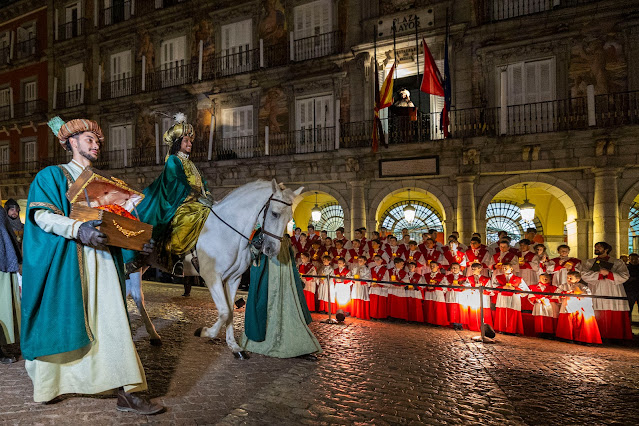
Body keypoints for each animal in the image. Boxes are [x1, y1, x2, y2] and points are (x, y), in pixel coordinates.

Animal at [128, 178, 304, 358]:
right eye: (275, 214)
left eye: (290, 217)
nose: (271, 249)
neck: (227, 231)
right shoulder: (212, 277)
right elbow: (225, 311)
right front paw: (204, 332)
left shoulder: (234, 279)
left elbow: (230, 312)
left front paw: (234, 346)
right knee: (136, 295)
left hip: (143, 265)